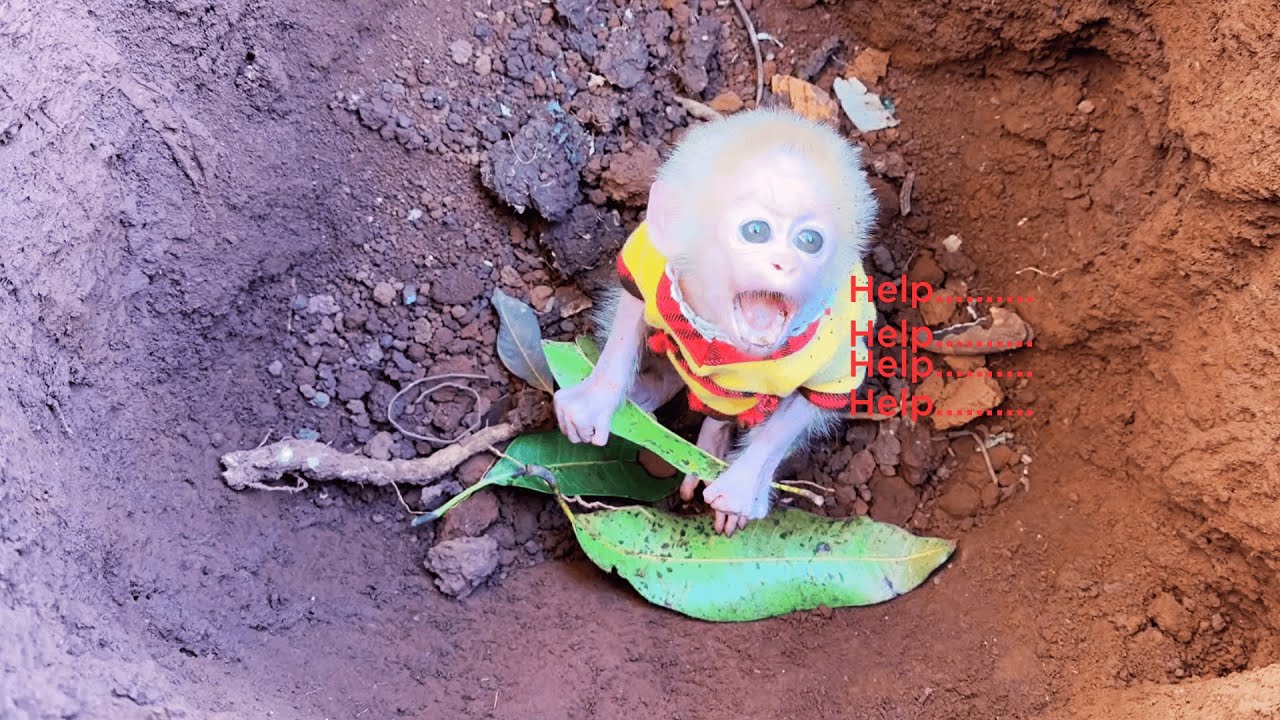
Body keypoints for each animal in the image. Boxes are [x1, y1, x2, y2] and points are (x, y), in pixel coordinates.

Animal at [555, 108, 878, 536]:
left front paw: (742, 487)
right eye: (756, 231)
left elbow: (815, 398)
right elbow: (631, 310)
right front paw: (595, 401)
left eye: (809, 241)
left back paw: (709, 441)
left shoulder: (833, 335)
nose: (785, 263)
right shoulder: (653, 264)